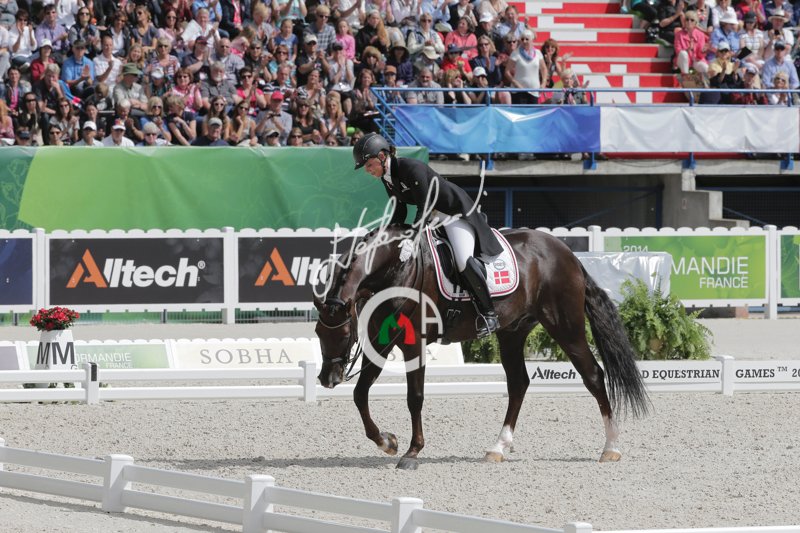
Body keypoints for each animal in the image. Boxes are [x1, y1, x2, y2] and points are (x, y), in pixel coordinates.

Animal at [313, 224, 650, 470]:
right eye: (318, 332)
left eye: (344, 333)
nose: (327, 379)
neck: (394, 269)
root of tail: (568, 254)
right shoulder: (381, 341)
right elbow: (360, 393)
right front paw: (387, 442)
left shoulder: (413, 344)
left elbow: (415, 398)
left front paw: (411, 452)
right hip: (513, 332)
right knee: (518, 383)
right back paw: (497, 448)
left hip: (566, 327)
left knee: (593, 375)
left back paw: (611, 448)